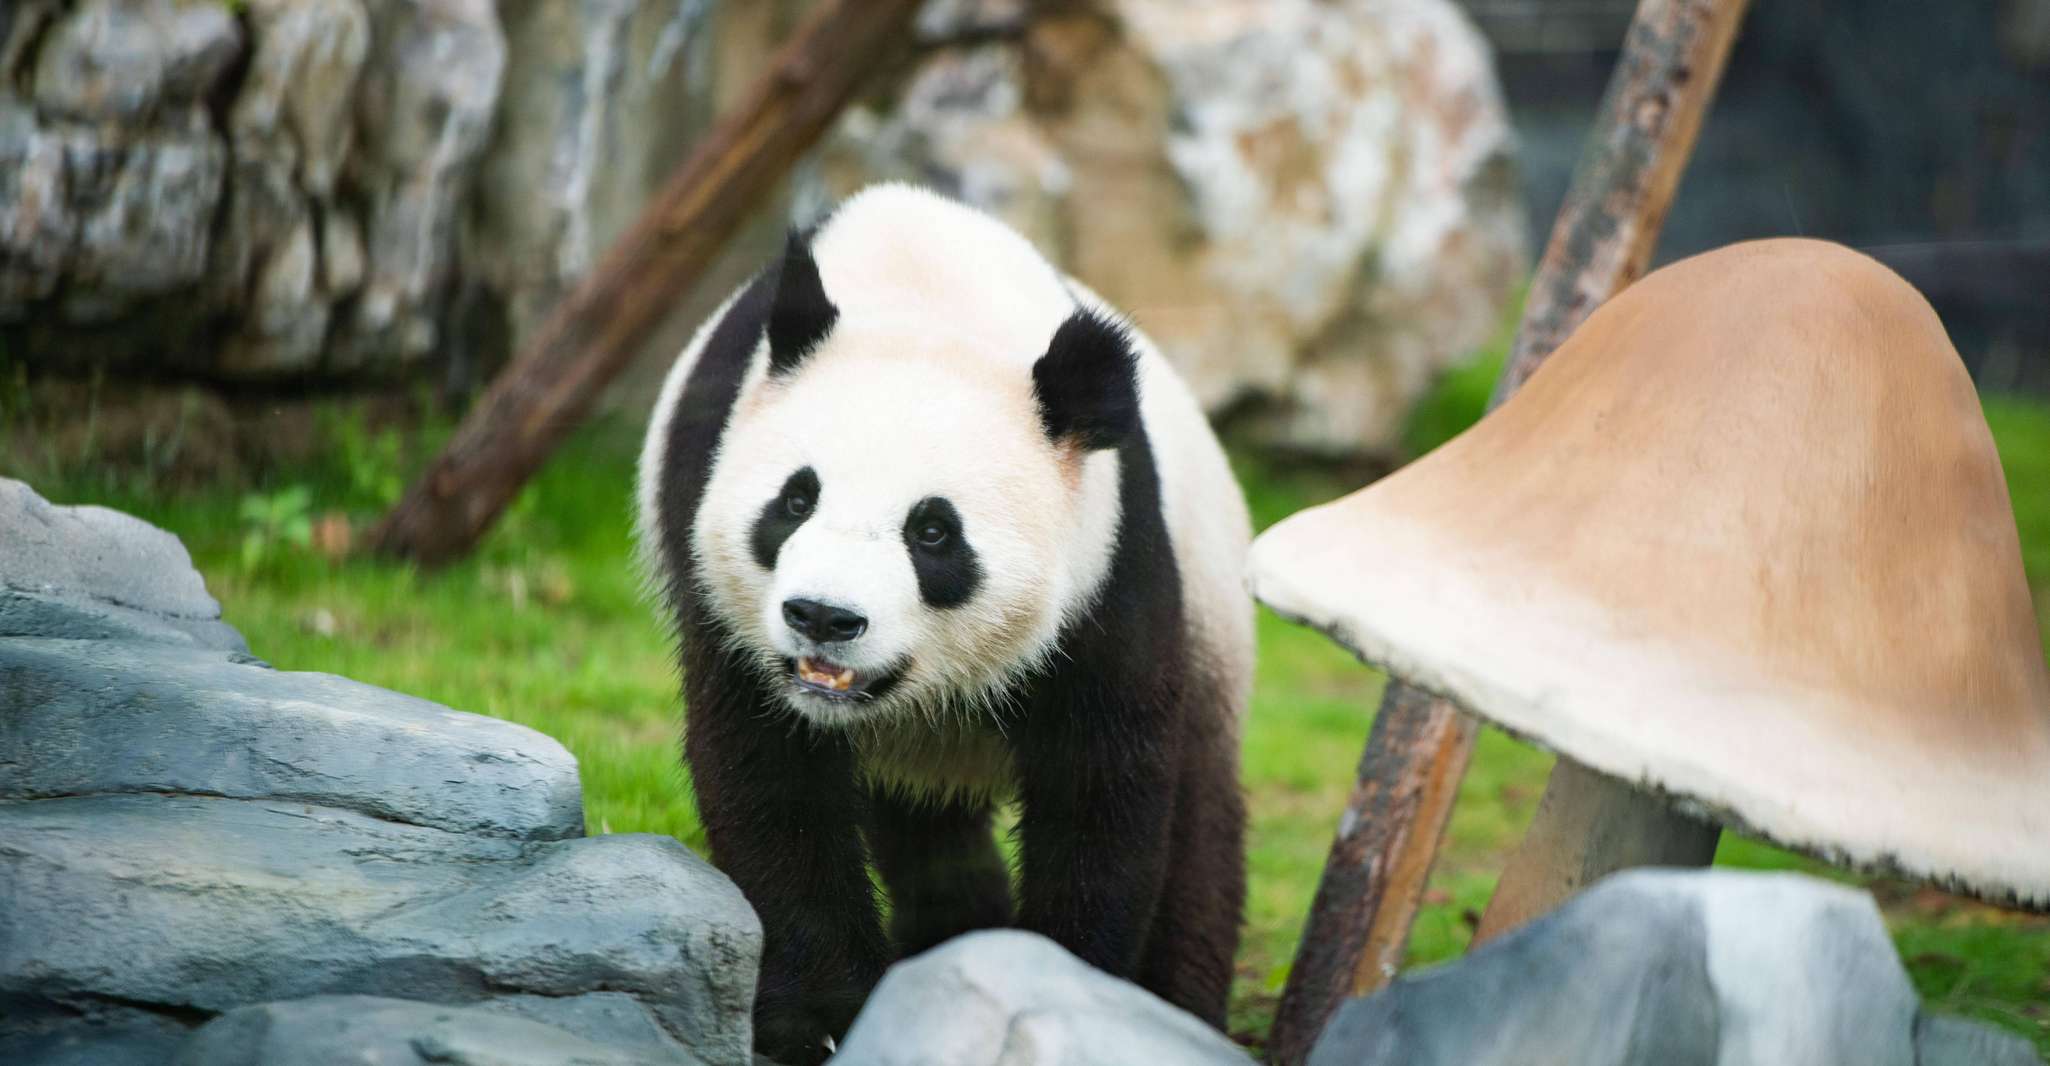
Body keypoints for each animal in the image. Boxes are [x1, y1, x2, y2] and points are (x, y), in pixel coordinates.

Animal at [635, 184, 1253, 1064]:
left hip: (1211, 601)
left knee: (1201, 814)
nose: (823, 617)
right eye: (795, 500)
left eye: (933, 532)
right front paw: (826, 1019)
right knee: (926, 833)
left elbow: (1104, 783)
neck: (925, 295)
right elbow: (769, 779)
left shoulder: (1110, 559)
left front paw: (1065, 979)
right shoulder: (714, 549)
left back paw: (1178, 1001)